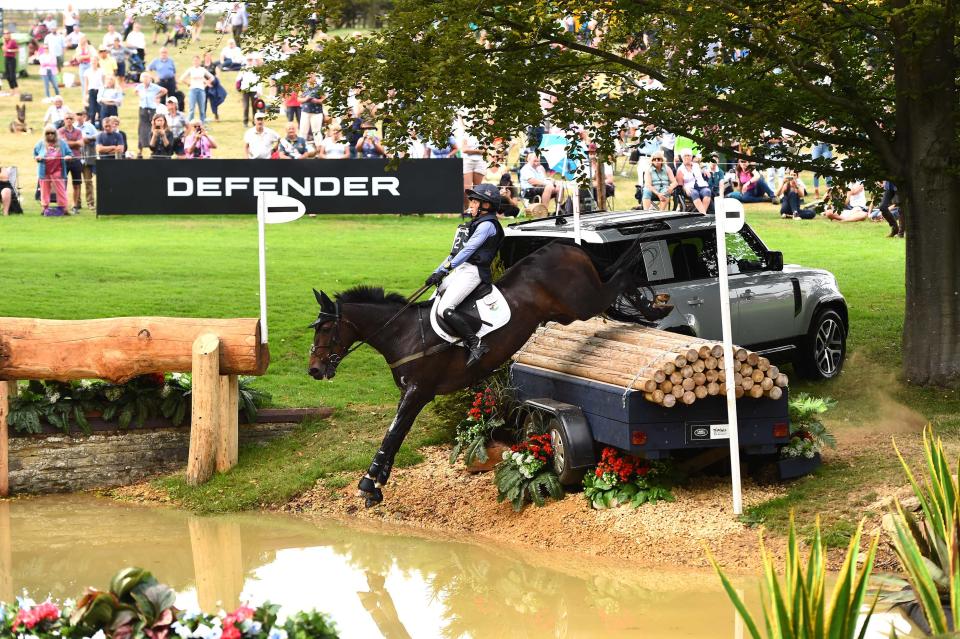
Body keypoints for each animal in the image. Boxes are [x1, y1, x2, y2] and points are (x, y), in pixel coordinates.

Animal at [312, 238, 664, 508]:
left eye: (326, 328)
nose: (314, 370)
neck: (404, 333)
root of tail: (564, 247)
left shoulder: (418, 392)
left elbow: (392, 433)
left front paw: (368, 484)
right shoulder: (409, 394)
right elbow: (396, 434)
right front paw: (378, 483)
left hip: (582, 302)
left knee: (621, 278)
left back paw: (653, 305)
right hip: (569, 311)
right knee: (615, 283)